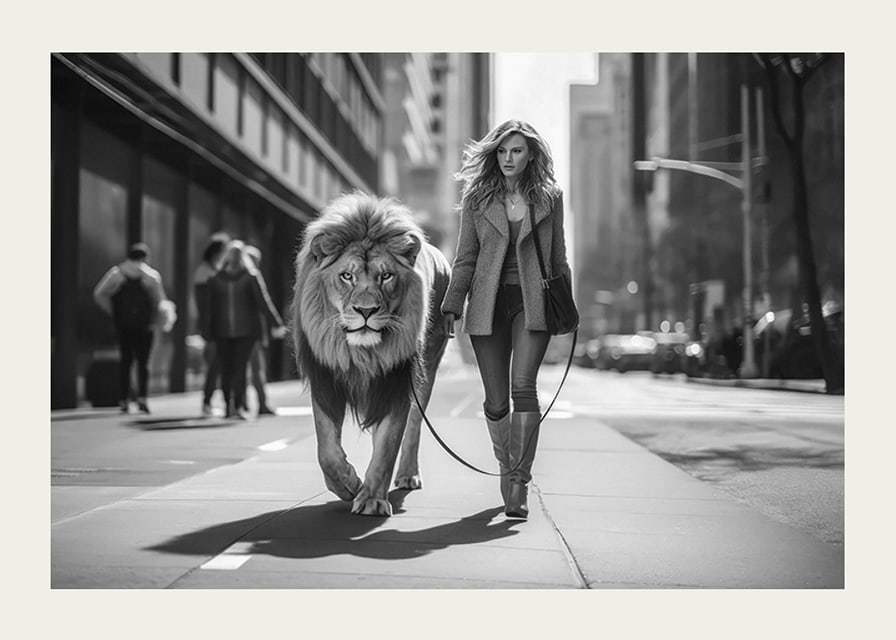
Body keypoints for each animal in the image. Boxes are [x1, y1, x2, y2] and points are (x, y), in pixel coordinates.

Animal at [290, 192, 451, 516]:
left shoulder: (396, 381)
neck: (360, 354)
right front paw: (348, 484)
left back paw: (407, 475)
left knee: (414, 426)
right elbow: (326, 448)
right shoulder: (325, 377)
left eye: (386, 276)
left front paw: (373, 499)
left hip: (428, 367)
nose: (366, 311)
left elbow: (388, 443)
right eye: (347, 276)